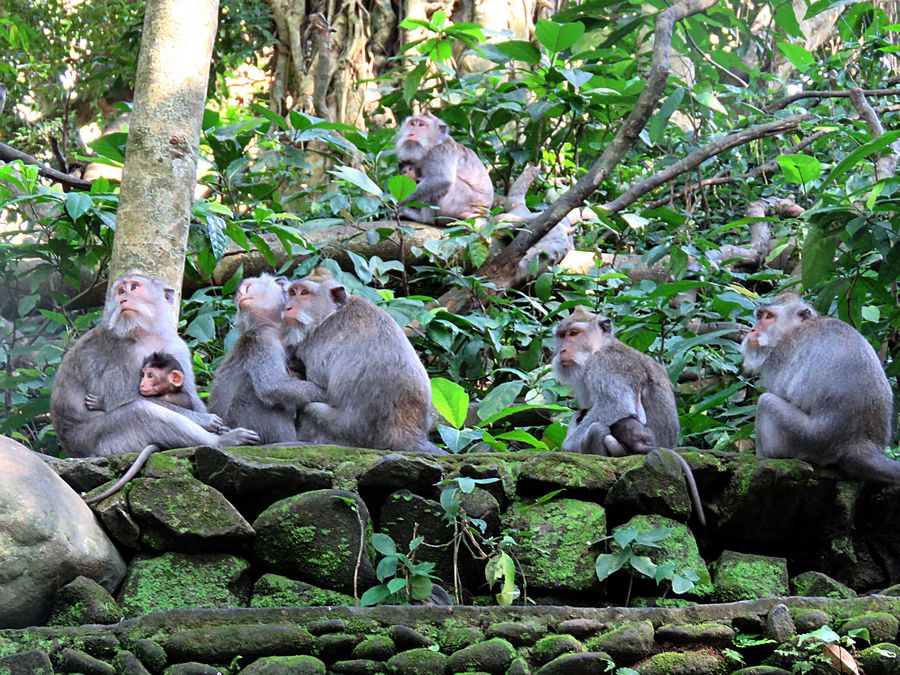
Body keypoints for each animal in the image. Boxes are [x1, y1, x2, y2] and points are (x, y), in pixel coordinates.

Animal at [50, 272, 260, 504]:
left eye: (133, 287)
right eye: (120, 291)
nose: (123, 299)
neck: (145, 333)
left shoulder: (177, 346)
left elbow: (189, 394)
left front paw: (215, 422)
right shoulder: (121, 354)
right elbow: (125, 400)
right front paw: (208, 422)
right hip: (97, 443)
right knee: (140, 412)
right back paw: (222, 441)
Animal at [281, 269, 444, 454]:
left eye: (304, 293)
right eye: (292, 293)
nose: (287, 308)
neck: (331, 313)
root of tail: (409, 437)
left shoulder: (317, 344)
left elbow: (320, 388)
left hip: (344, 430)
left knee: (311, 410)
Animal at [552, 306, 706, 527]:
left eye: (574, 333)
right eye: (562, 336)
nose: (562, 350)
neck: (601, 347)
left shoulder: (605, 365)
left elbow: (616, 405)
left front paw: (567, 448)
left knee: (596, 427)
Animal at [741, 292, 899, 482]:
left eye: (768, 317)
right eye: (760, 316)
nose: (752, 330)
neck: (795, 329)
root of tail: (859, 444)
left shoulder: (779, 357)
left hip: (809, 439)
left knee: (766, 402)